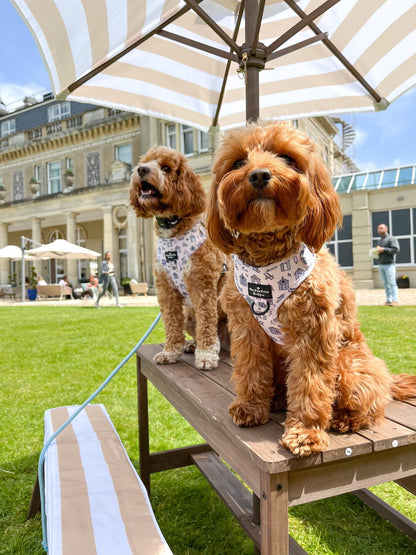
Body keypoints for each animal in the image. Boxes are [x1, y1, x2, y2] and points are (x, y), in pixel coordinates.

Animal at [130, 146, 228, 372]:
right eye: (145, 162)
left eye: (166, 168)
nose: (141, 170)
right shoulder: (165, 287)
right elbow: (171, 321)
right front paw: (170, 352)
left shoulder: (202, 284)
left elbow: (206, 324)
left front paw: (207, 356)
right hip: (188, 315)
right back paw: (191, 345)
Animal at [206, 121, 416, 456]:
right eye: (238, 162)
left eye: (286, 157)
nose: (259, 175)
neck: (268, 262)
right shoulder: (246, 326)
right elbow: (250, 368)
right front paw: (250, 406)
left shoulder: (313, 330)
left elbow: (311, 383)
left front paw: (305, 431)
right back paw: (277, 399)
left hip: (350, 367)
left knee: (372, 404)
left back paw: (344, 418)